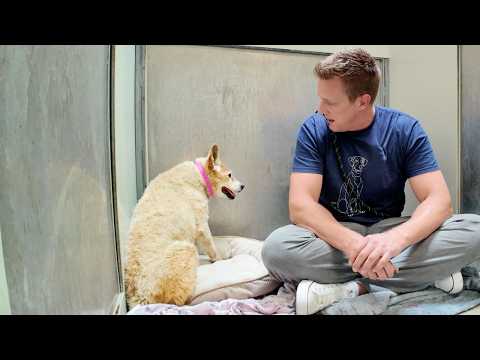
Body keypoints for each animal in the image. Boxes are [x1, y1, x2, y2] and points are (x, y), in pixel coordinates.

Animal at [124, 145, 244, 308]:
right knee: (179, 301)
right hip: (187, 249)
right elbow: (212, 248)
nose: (243, 186)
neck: (200, 177)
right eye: (230, 175)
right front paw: (219, 260)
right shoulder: (202, 226)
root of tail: (141, 298)